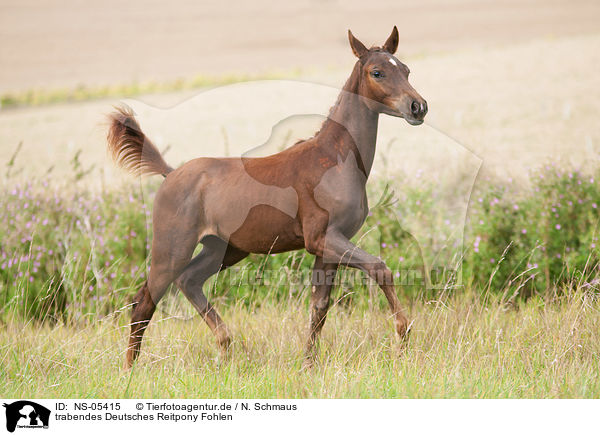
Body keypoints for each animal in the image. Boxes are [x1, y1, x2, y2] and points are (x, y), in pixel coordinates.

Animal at [108, 26, 426, 368]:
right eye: (376, 72)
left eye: (406, 69)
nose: (418, 107)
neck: (335, 160)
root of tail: (170, 174)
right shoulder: (322, 239)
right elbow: (380, 268)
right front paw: (403, 334)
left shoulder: (327, 248)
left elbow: (319, 307)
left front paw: (308, 364)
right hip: (171, 248)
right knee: (143, 303)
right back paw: (130, 370)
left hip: (224, 248)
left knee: (189, 280)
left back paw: (226, 346)